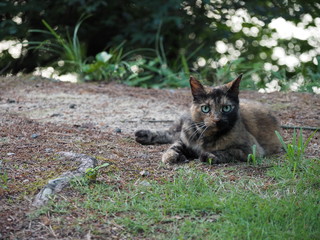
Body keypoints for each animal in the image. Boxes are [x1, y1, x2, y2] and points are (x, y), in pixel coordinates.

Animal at [134, 74, 280, 165]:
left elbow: (229, 151)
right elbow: (175, 146)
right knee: (170, 133)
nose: (217, 120)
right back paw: (143, 134)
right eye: (205, 108)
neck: (206, 137)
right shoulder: (185, 139)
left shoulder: (251, 149)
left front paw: (209, 155)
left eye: (226, 108)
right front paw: (170, 156)